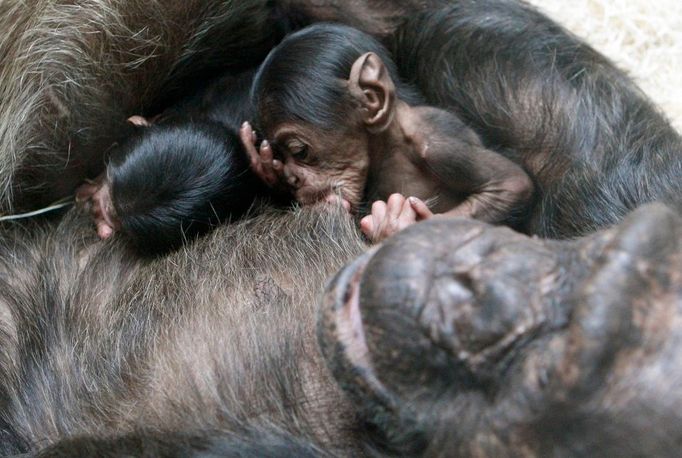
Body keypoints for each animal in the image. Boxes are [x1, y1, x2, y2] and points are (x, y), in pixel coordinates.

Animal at [242, 24, 532, 243]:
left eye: (299, 150)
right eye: (281, 156)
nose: (293, 178)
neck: (388, 143)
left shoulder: (440, 145)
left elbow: (510, 185)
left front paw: (395, 225)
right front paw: (267, 166)